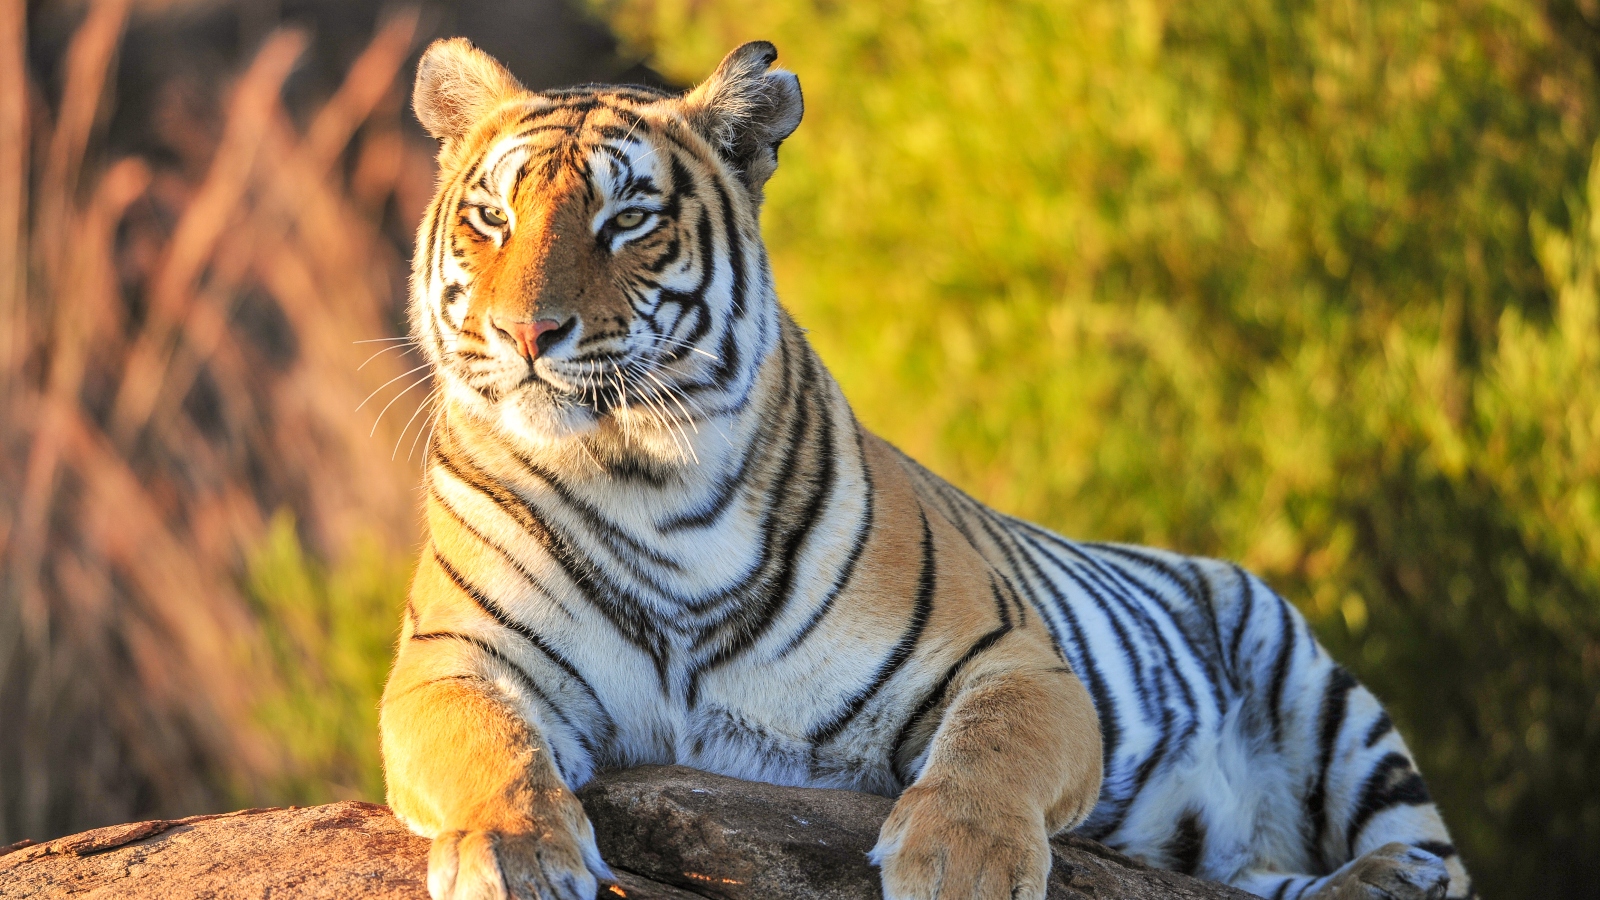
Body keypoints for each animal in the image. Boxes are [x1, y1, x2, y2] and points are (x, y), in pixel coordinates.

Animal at [380, 35, 1478, 896]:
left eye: (628, 221)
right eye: (491, 218)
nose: (527, 332)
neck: (643, 479)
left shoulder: (1015, 660)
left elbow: (989, 753)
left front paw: (963, 865)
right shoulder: (453, 659)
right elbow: (492, 751)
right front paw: (515, 855)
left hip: (1326, 700)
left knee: (1429, 849)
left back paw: (1398, 876)